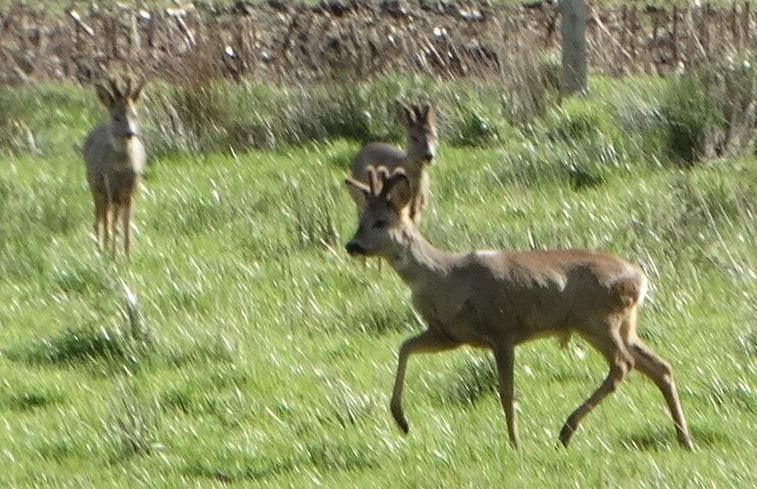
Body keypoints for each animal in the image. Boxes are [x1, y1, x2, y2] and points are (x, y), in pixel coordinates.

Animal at [83, 73, 148, 255]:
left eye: (134, 115)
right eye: (116, 116)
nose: (130, 133)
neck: (122, 166)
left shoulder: (132, 187)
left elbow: (126, 226)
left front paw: (128, 255)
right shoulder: (109, 183)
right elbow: (111, 224)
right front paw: (112, 255)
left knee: (111, 218)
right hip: (94, 183)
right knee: (100, 218)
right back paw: (100, 249)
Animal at [346, 167, 692, 450]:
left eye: (381, 222)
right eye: (359, 220)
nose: (352, 245)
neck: (444, 277)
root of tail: (640, 278)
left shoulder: (502, 329)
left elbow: (506, 390)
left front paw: (514, 442)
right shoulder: (448, 335)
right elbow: (405, 347)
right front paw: (401, 420)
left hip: (596, 319)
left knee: (623, 364)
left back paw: (566, 431)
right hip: (624, 323)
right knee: (659, 366)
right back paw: (683, 438)